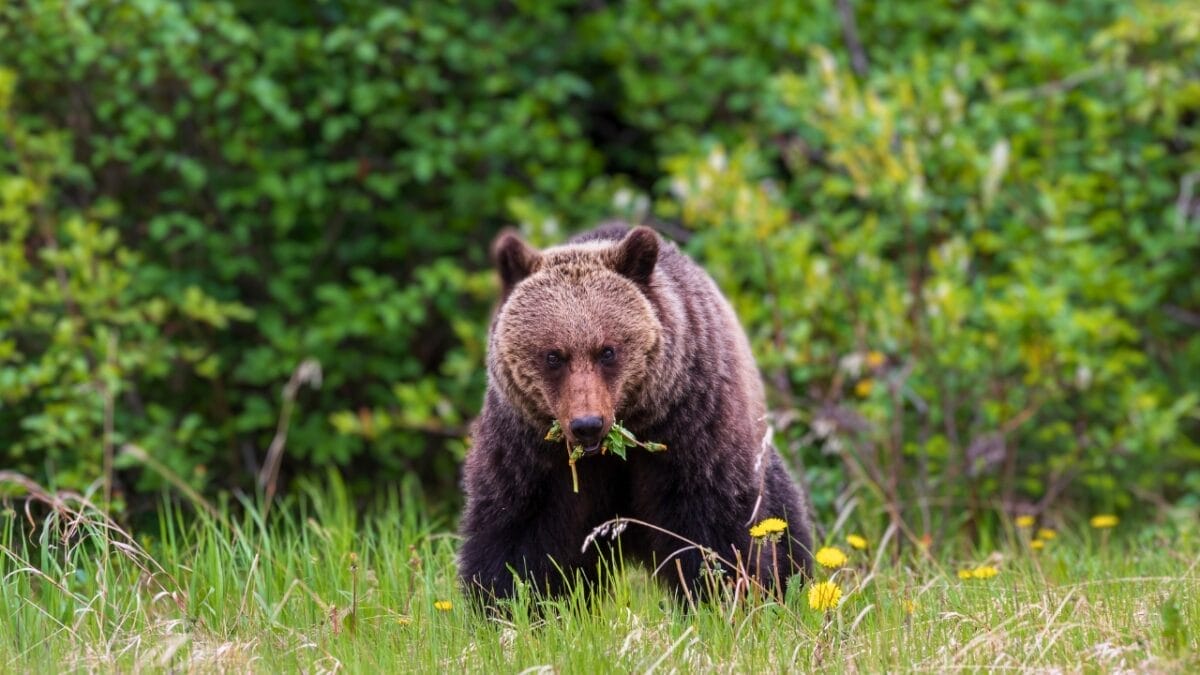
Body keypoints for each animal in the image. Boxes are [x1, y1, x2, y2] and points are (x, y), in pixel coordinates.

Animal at [457, 223, 813, 604]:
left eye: (607, 351)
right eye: (553, 355)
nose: (587, 424)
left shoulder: (689, 426)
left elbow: (714, 525)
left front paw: (724, 593)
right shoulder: (530, 451)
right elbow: (516, 530)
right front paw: (503, 601)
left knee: (786, 528)